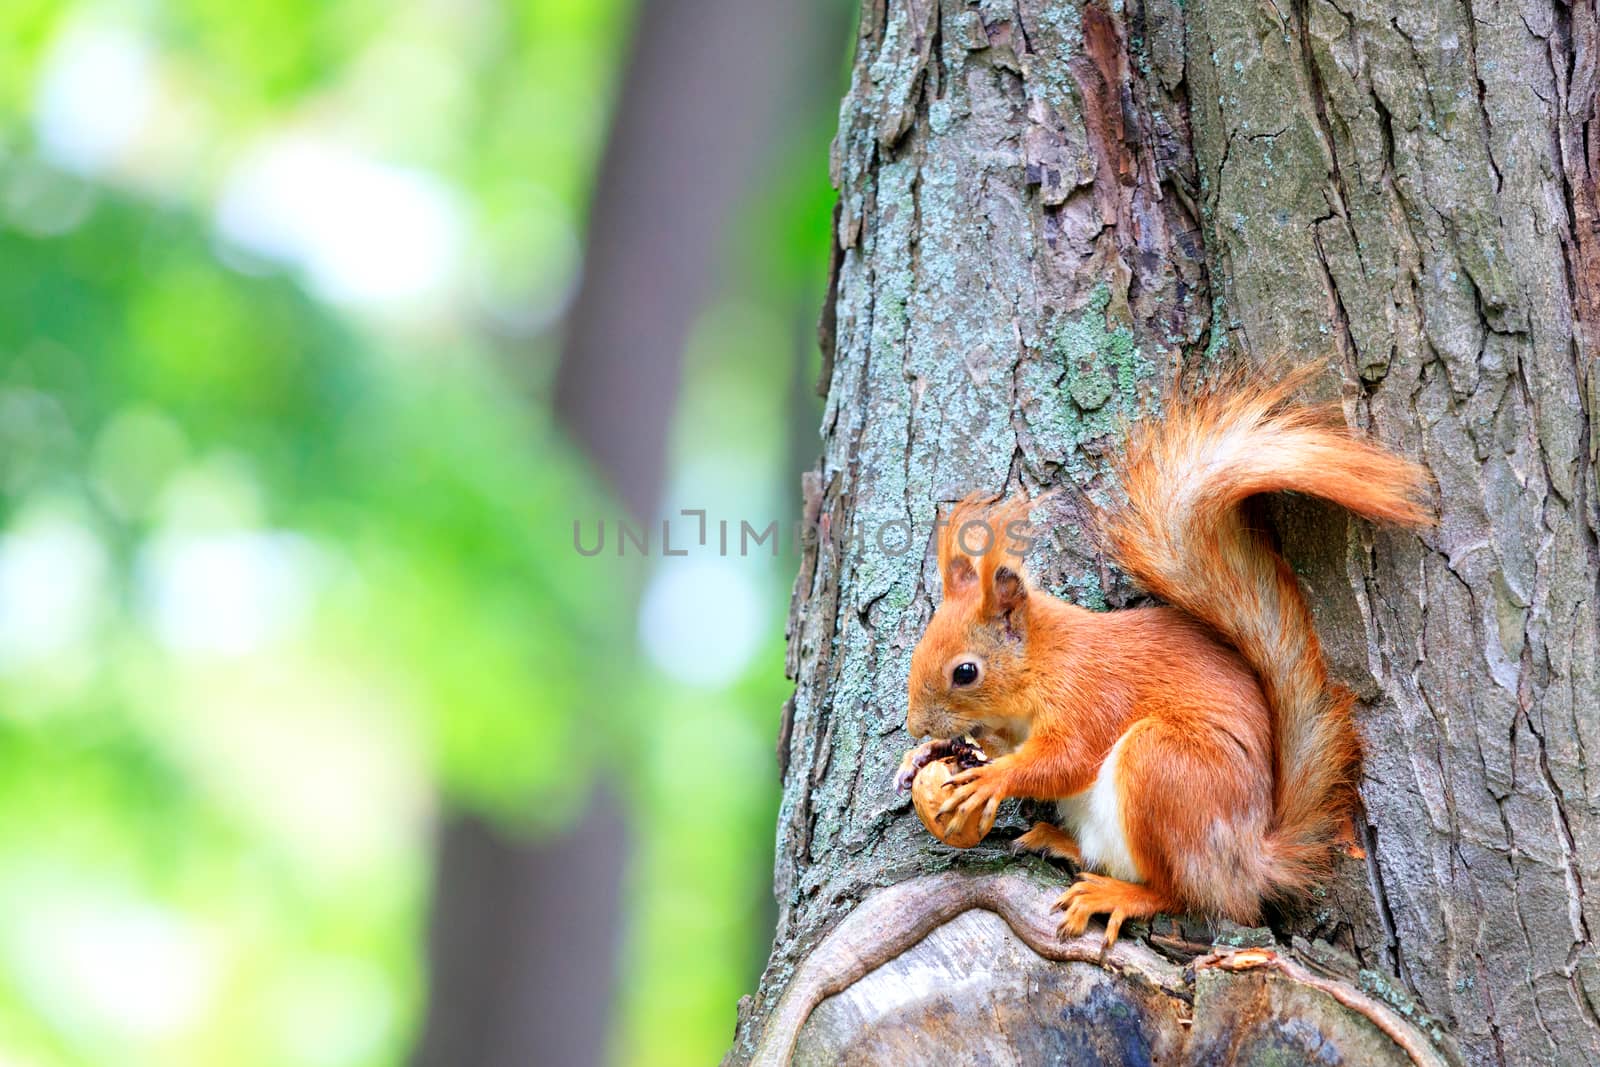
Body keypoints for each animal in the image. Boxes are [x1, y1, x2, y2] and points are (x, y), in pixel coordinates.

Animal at [902, 369, 1440, 953]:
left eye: (965, 672)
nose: (914, 726)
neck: (1046, 660)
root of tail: (1249, 861)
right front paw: (929, 754)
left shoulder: (1088, 694)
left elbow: (1065, 760)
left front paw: (991, 779)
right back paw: (1057, 840)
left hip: (1165, 769)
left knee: (1180, 893)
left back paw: (1116, 895)